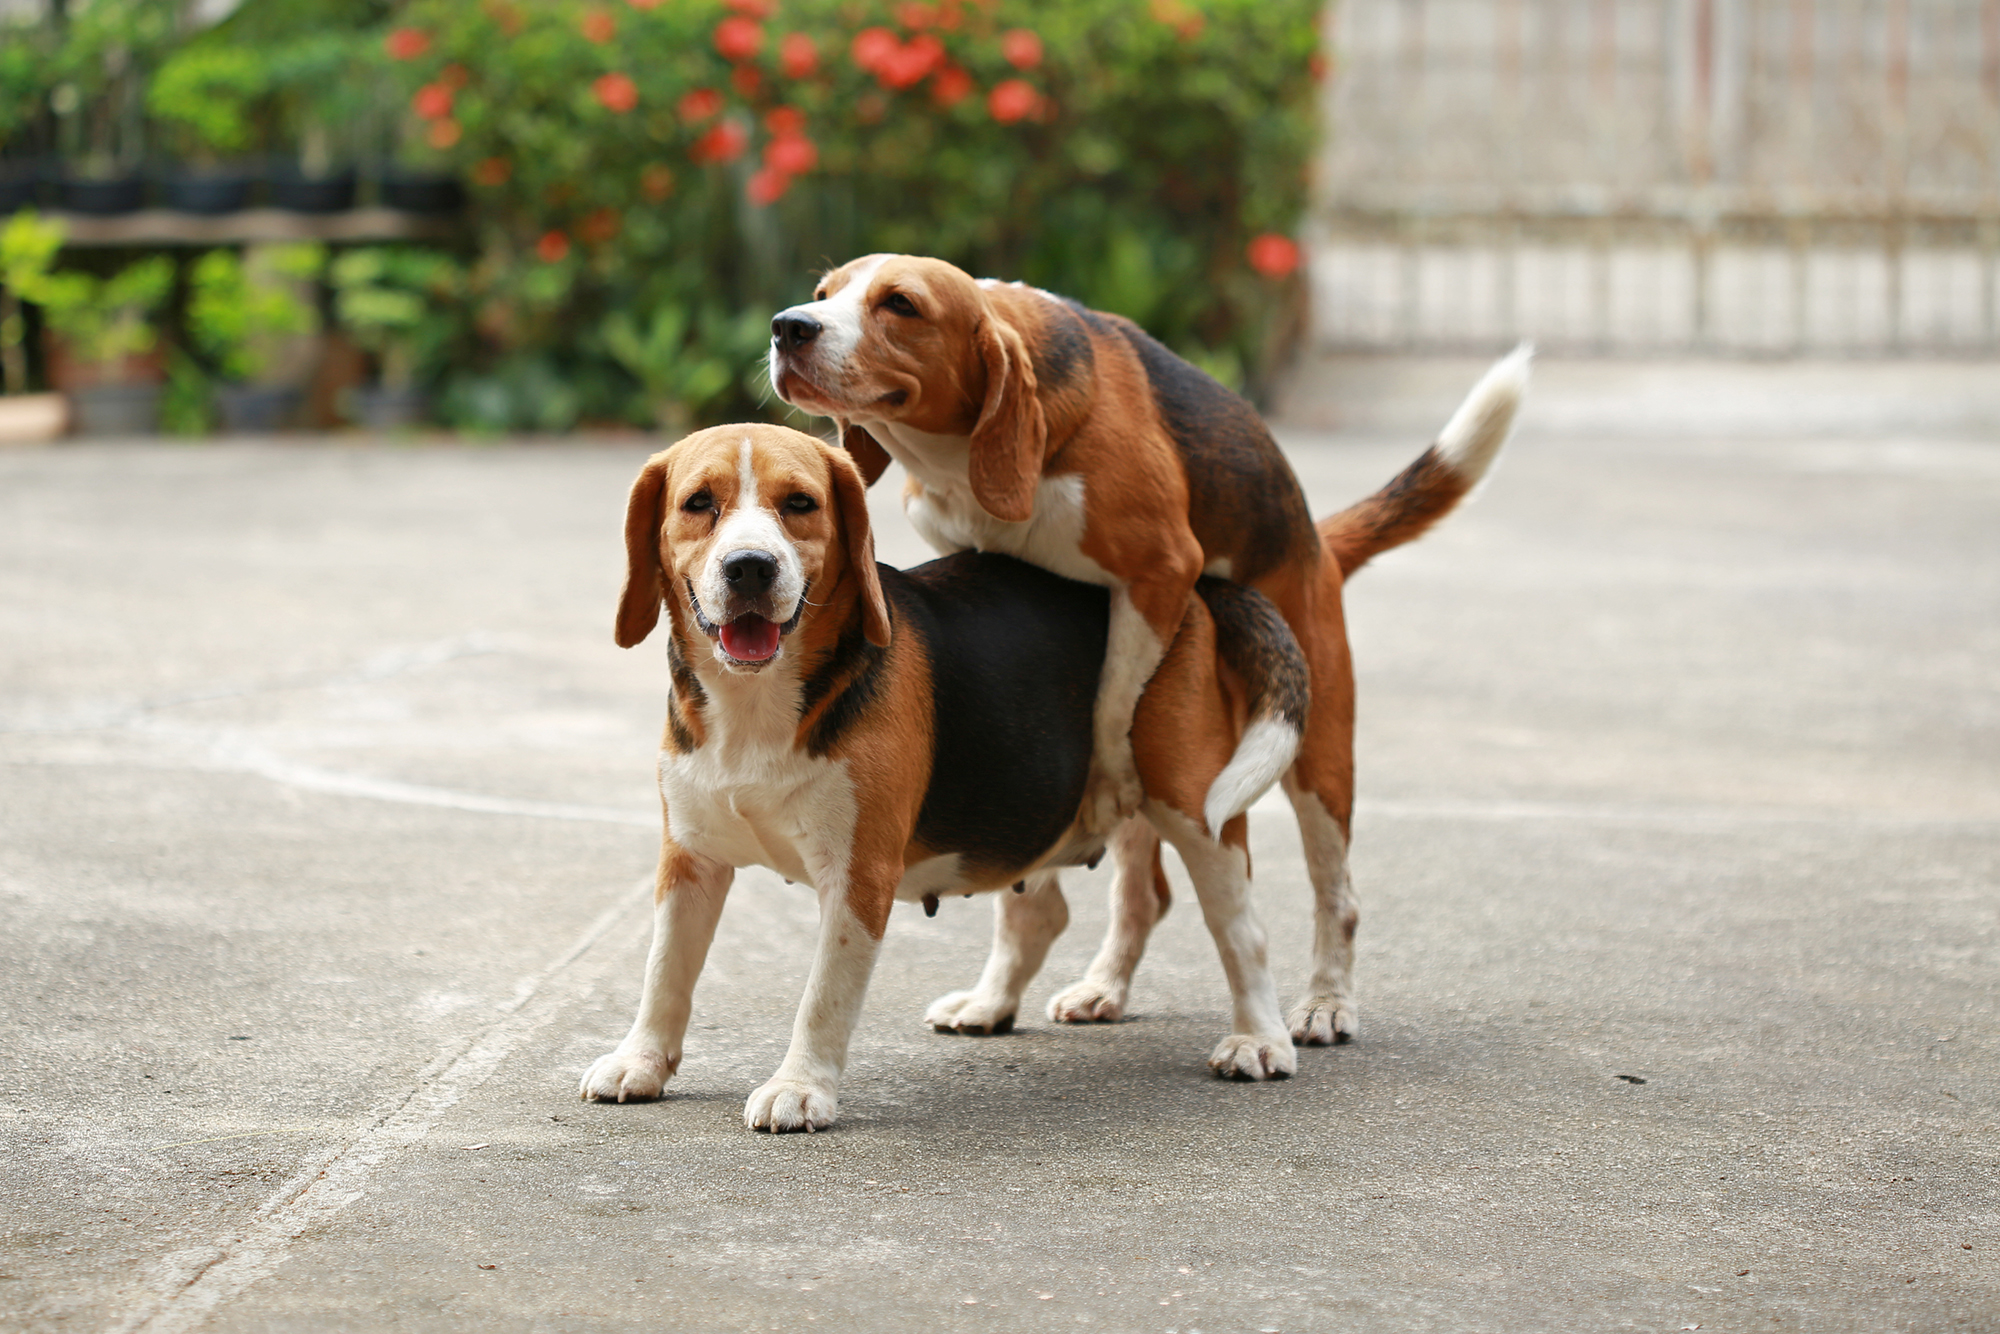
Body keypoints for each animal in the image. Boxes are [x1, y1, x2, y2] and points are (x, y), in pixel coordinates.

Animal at [580, 422, 1320, 1136]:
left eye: (800, 504)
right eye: (698, 503)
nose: (751, 568)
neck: (755, 703)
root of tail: (1197, 592)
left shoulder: (858, 877)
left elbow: (822, 996)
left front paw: (800, 1088)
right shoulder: (690, 863)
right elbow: (664, 972)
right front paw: (640, 1061)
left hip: (1194, 810)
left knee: (1241, 930)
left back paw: (1259, 1040)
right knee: (1041, 913)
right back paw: (990, 1004)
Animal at [768, 258, 1528, 1056]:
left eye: (901, 305)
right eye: (823, 296)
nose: (789, 328)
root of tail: (1317, 544)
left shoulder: (1162, 572)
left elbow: (1110, 705)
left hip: (1315, 760)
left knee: (1334, 894)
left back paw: (1325, 1002)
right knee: (1141, 892)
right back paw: (1074, 988)